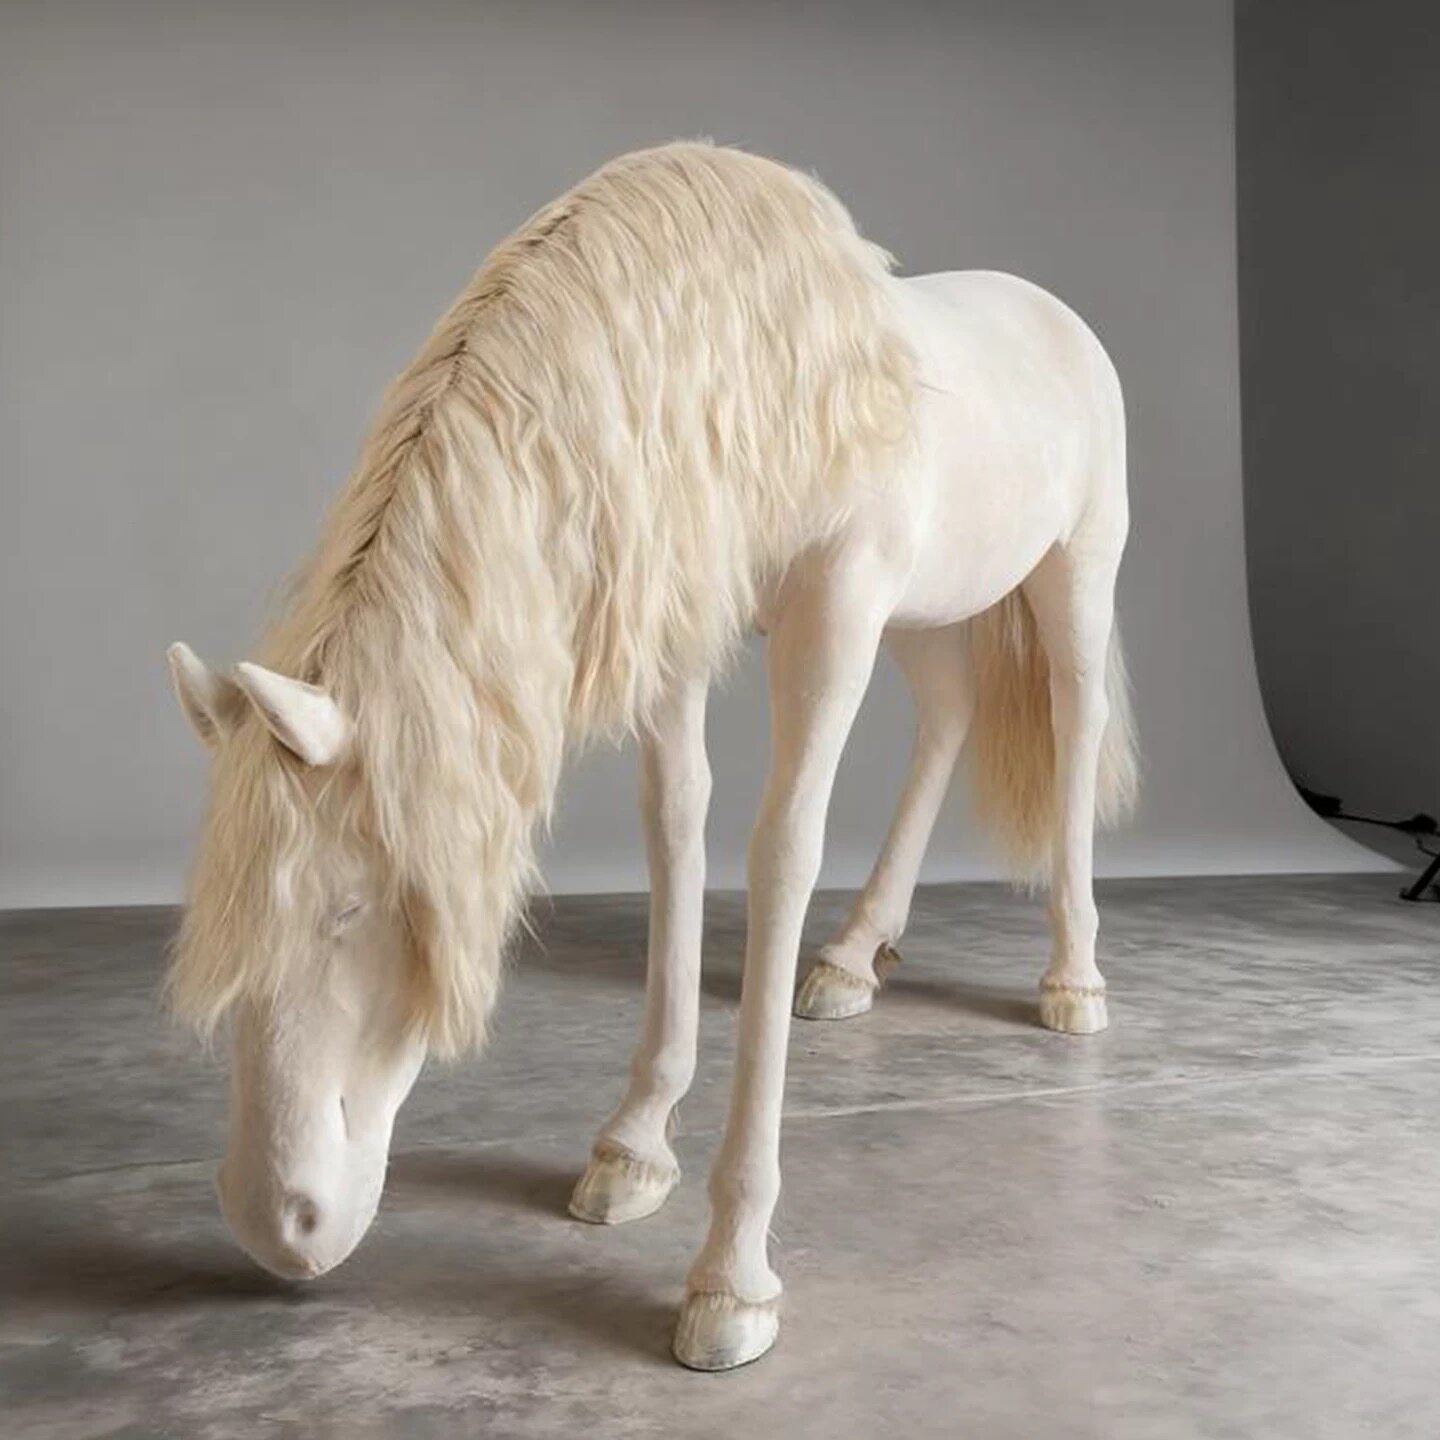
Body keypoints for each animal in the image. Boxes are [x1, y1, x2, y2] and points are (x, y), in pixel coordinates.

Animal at [166, 141, 1137, 1372]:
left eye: (348, 912)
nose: (275, 1219)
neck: (741, 371)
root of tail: (1055, 311)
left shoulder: (834, 615)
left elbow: (780, 853)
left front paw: (731, 1280)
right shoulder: (681, 624)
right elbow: (677, 831)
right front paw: (633, 1144)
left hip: (1072, 576)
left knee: (1073, 725)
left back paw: (1073, 980)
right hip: (930, 609)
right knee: (951, 717)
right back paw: (853, 959)